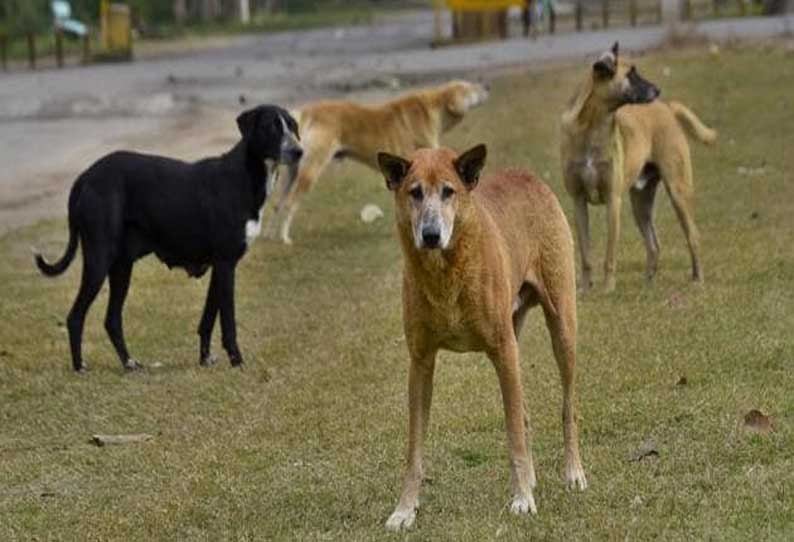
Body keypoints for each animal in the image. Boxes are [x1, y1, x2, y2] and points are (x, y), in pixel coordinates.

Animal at [34, 104, 302, 372]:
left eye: (292, 125)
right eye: (270, 127)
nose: (299, 151)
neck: (244, 176)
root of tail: (85, 176)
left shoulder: (221, 266)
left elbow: (207, 319)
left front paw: (205, 359)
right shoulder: (226, 264)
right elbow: (228, 322)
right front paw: (237, 361)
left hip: (121, 266)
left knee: (112, 319)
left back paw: (129, 362)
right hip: (99, 260)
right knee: (75, 316)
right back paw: (80, 366)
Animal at [378, 144, 588, 532]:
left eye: (449, 191)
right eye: (414, 193)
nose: (430, 234)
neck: (445, 273)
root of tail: (528, 175)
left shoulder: (503, 351)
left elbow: (514, 436)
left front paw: (522, 499)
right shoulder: (421, 362)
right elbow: (414, 450)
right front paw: (404, 509)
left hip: (562, 327)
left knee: (568, 407)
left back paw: (573, 473)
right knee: (524, 413)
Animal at [556, 43, 716, 294]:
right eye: (630, 74)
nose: (657, 89)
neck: (592, 128)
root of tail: (667, 108)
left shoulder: (613, 201)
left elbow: (609, 255)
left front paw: (608, 288)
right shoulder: (578, 202)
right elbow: (585, 255)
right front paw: (585, 288)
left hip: (678, 192)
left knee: (693, 236)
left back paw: (697, 279)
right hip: (640, 204)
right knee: (654, 244)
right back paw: (649, 282)